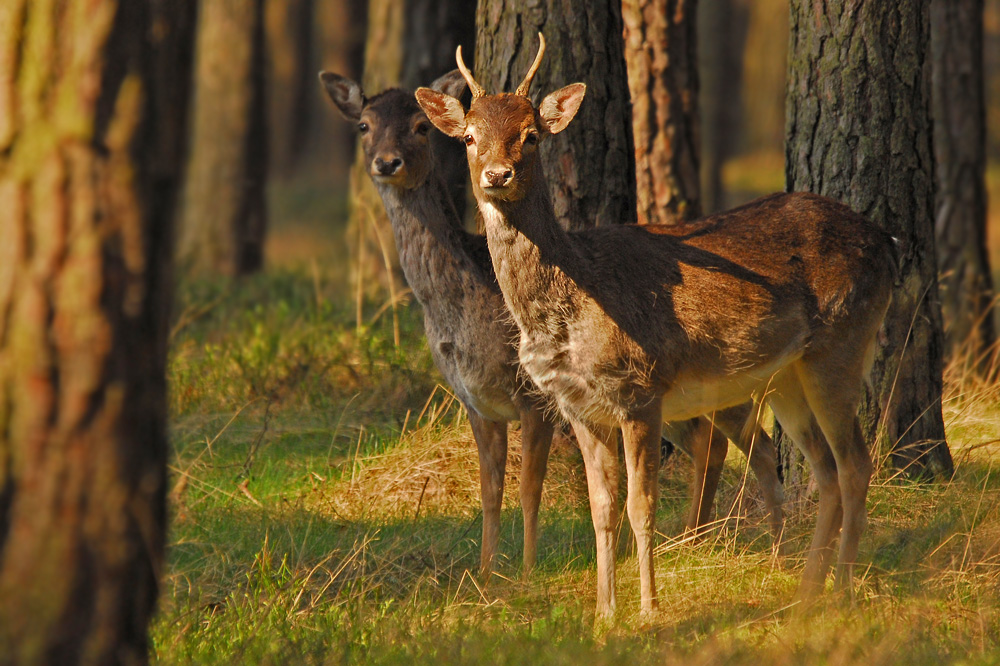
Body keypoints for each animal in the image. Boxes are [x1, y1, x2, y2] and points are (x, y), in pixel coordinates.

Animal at [418, 36, 896, 616]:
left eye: (530, 135)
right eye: (468, 137)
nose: (496, 175)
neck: (568, 311)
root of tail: (887, 243)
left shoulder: (640, 387)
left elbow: (640, 505)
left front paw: (648, 609)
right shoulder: (576, 407)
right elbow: (602, 509)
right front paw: (603, 613)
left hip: (842, 343)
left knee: (855, 465)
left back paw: (841, 588)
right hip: (787, 376)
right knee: (824, 471)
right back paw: (807, 593)